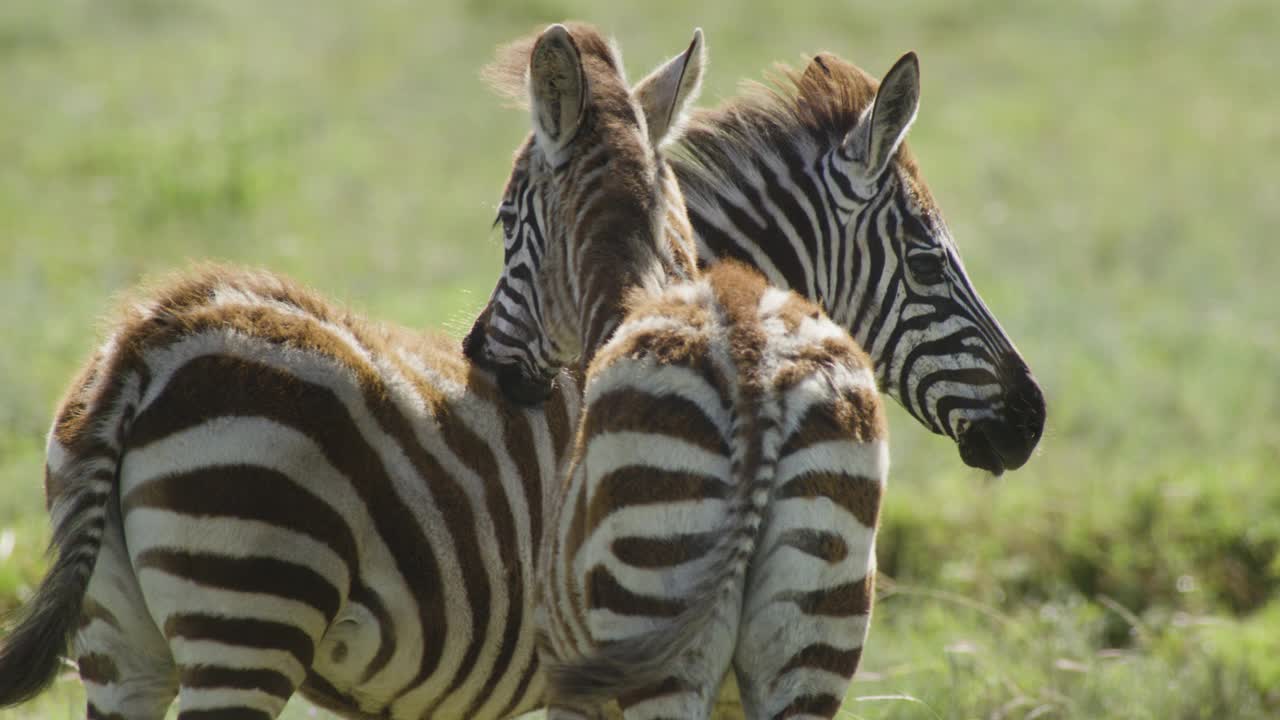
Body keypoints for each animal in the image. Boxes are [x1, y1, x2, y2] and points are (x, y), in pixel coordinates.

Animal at [460, 23, 890, 717]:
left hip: (650, 595)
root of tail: (753, 368)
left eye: (504, 219)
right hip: (815, 628)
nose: (477, 357)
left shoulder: (566, 674)